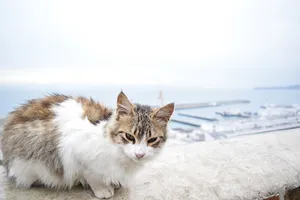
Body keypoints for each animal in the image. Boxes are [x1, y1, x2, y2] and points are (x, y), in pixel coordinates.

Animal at [0, 92, 175, 198]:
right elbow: (92, 175)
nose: (140, 154)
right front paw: (102, 189)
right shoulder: (78, 152)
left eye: (152, 140)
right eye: (129, 136)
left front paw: (114, 182)